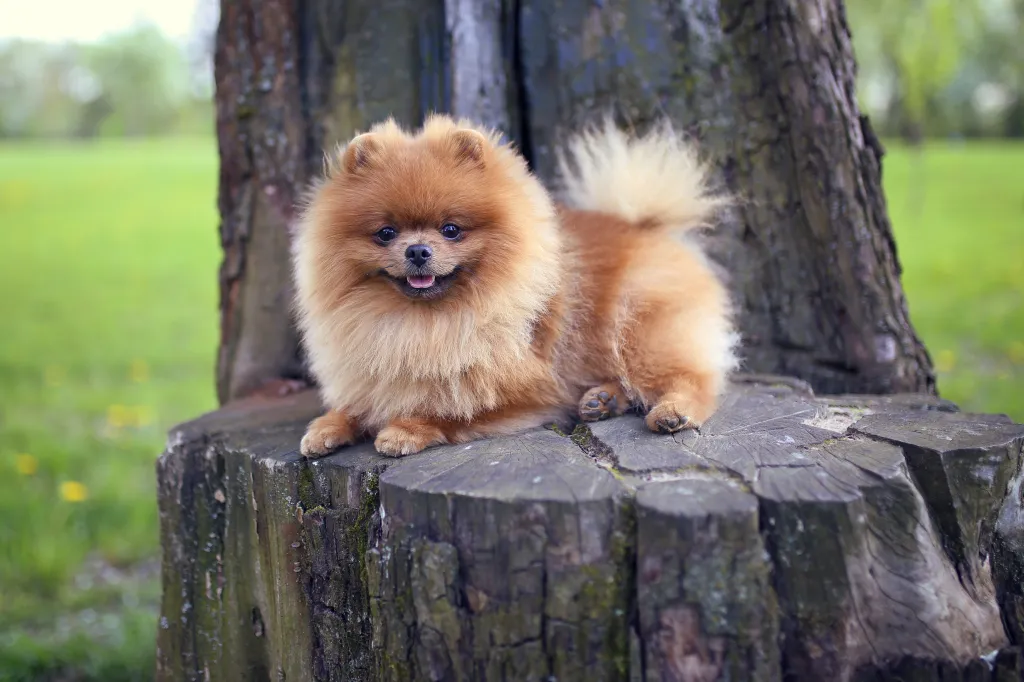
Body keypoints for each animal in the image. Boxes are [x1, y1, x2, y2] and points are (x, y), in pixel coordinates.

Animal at [292, 115, 741, 456]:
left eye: (451, 229)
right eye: (385, 234)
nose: (418, 250)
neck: (422, 323)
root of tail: (646, 226)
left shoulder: (524, 390)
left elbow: (450, 408)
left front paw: (404, 429)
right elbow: (357, 402)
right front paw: (327, 426)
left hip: (640, 328)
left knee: (694, 379)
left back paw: (672, 411)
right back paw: (603, 399)